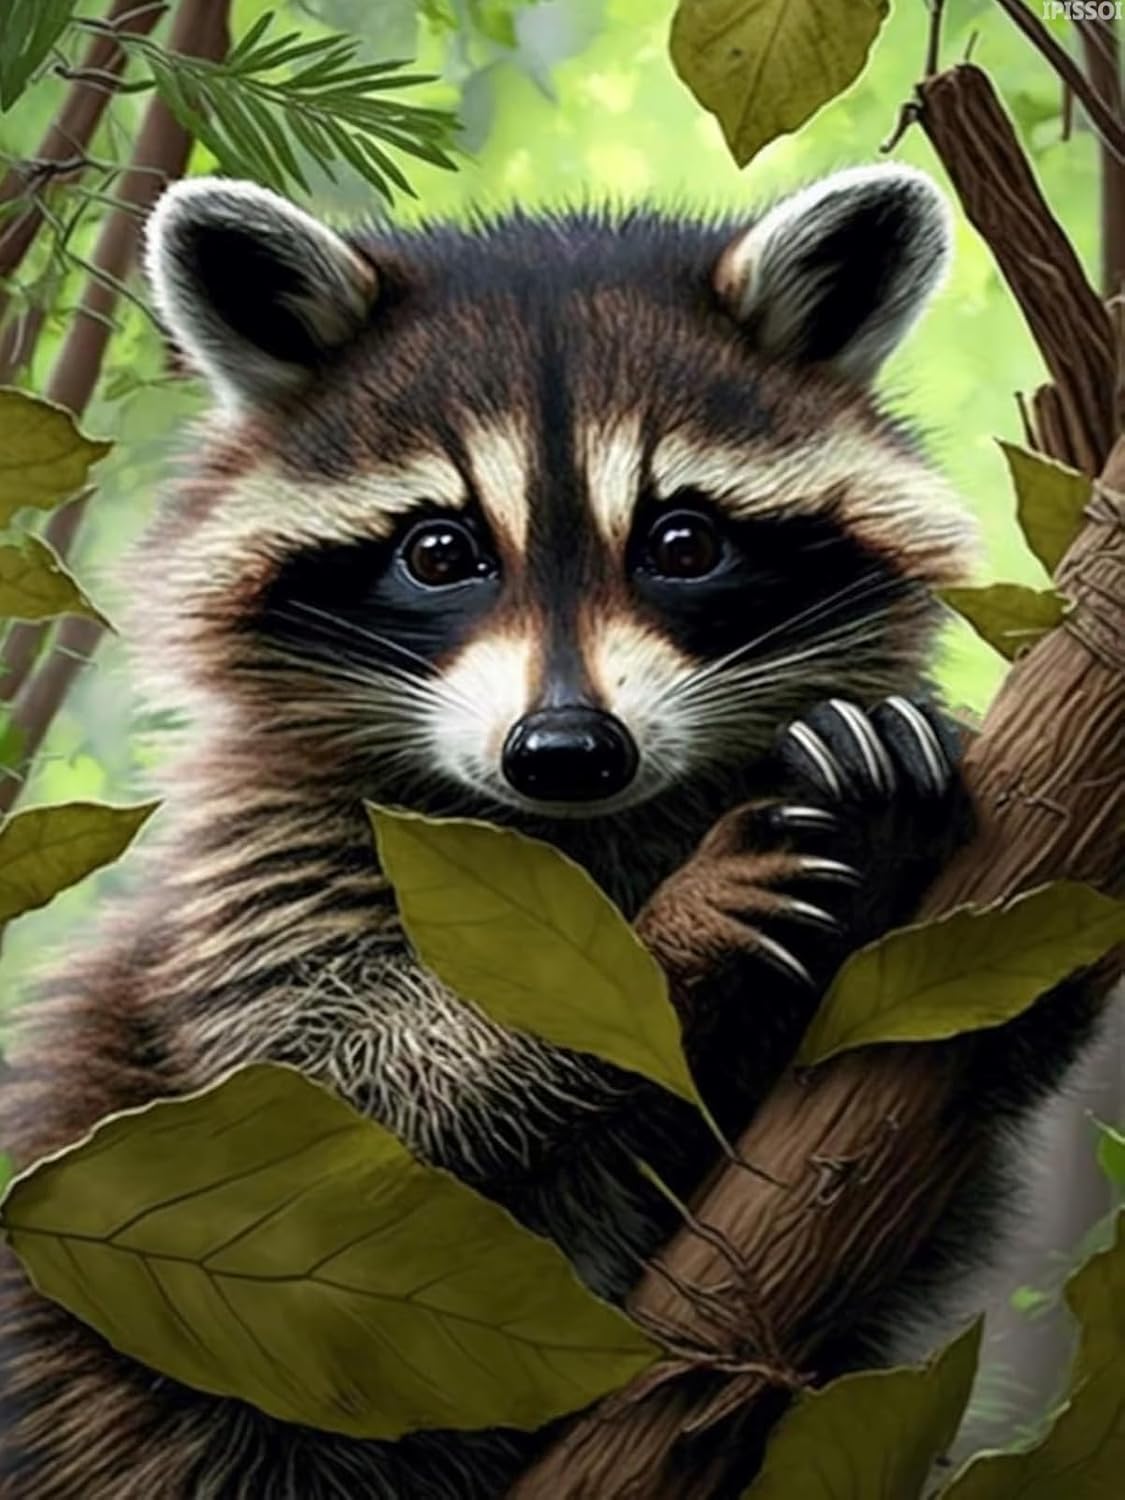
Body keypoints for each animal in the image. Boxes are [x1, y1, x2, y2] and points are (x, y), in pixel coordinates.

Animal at [0, 167, 1100, 1499]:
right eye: (438, 551)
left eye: (684, 543)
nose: (567, 751)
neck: (581, 826)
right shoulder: (262, 848)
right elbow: (315, 1089)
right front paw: (670, 932)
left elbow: (969, 1083)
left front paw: (885, 854)